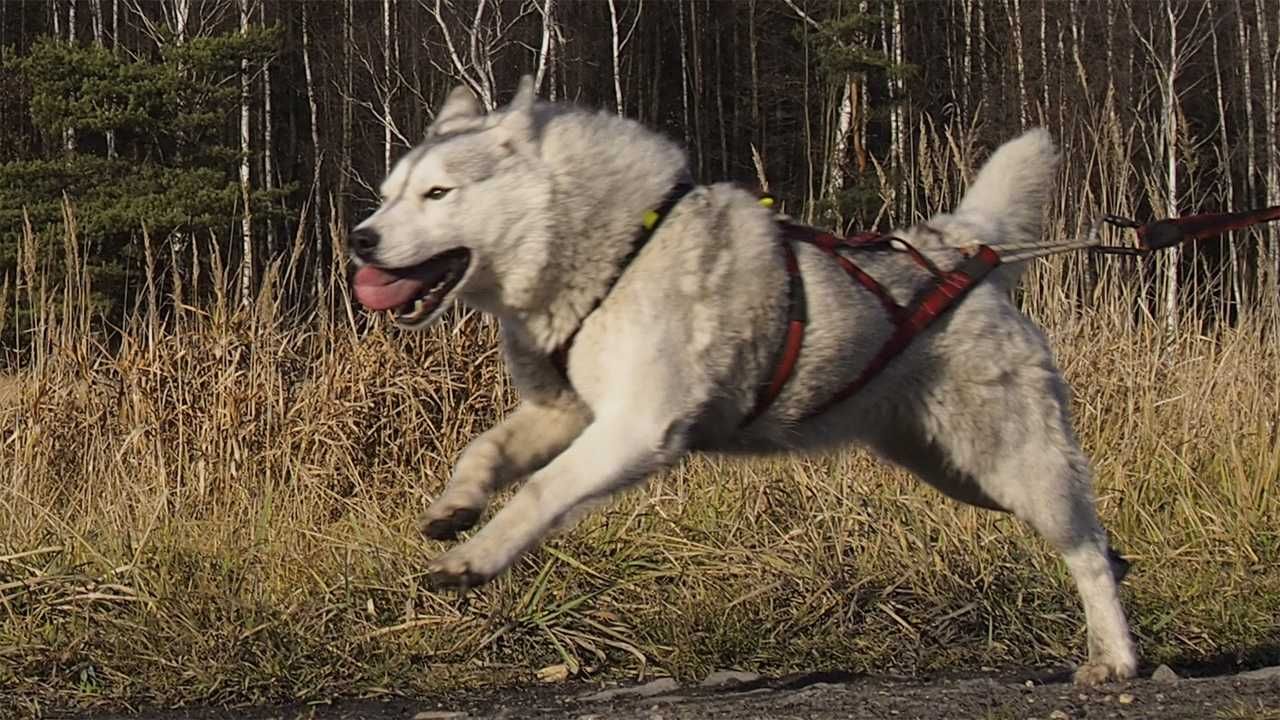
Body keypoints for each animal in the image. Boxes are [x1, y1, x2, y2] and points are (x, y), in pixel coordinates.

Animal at [345, 75, 1136, 681]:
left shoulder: (636, 429)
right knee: (1098, 541)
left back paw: (1117, 659)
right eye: (388, 194)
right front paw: (456, 508)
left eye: (438, 194)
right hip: (961, 476)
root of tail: (961, 248)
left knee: (1085, 549)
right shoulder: (565, 413)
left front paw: (473, 558)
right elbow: (484, 450)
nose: (359, 239)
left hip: (1012, 464)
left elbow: (540, 492)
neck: (615, 250)